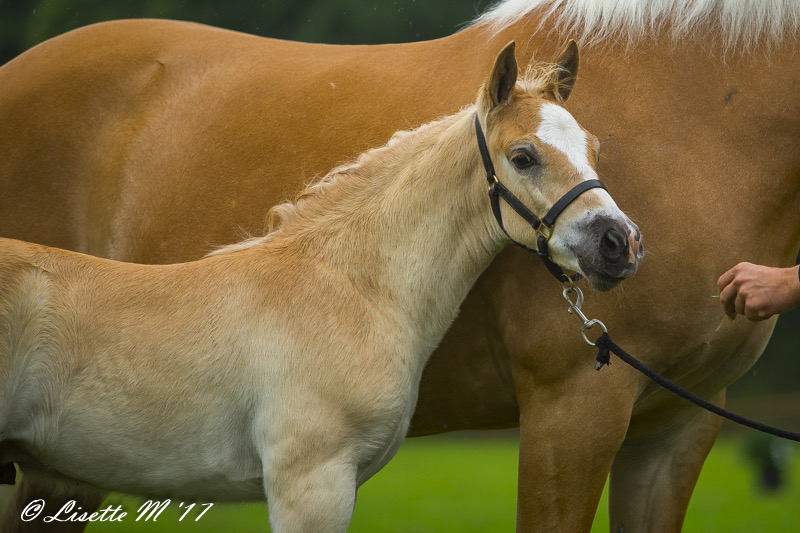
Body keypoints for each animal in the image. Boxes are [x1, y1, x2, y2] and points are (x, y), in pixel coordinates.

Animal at [0, 0, 796, 528]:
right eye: (524, 155)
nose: (619, 243)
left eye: (597, 147)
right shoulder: (569, 408)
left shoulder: (679, 422)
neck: (338, 282)